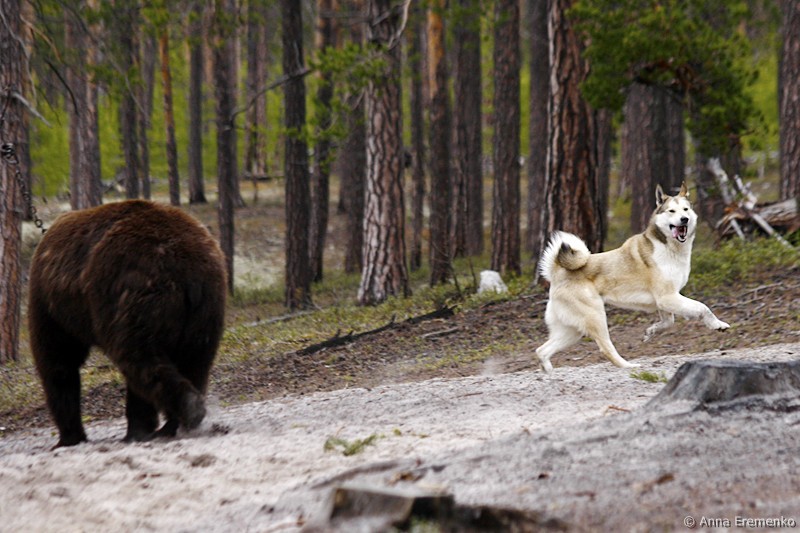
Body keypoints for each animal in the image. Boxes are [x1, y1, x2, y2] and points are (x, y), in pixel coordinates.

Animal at [28, 200, 227, 448]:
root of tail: (186, 270)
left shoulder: (48, 305)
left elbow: (57, 361)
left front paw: (69, 437)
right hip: (207, 307)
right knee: (194, 360)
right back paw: (172, 422)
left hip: (133, 292)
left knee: (139, 358)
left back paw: (174, 415)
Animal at [535, 182, 730, 373]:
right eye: (671, 211)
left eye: (686, 209)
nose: (684, 219)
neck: (670, 249)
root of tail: (557, 272)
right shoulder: (667, 297)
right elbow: (703, 308)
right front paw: (717, 324)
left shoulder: (665, 302)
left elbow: (668, 322)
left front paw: (650, 332)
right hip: (596, 317)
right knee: (606, 348)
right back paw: (628, 366)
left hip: (571, 331)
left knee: (542, 350)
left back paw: (549, 372)